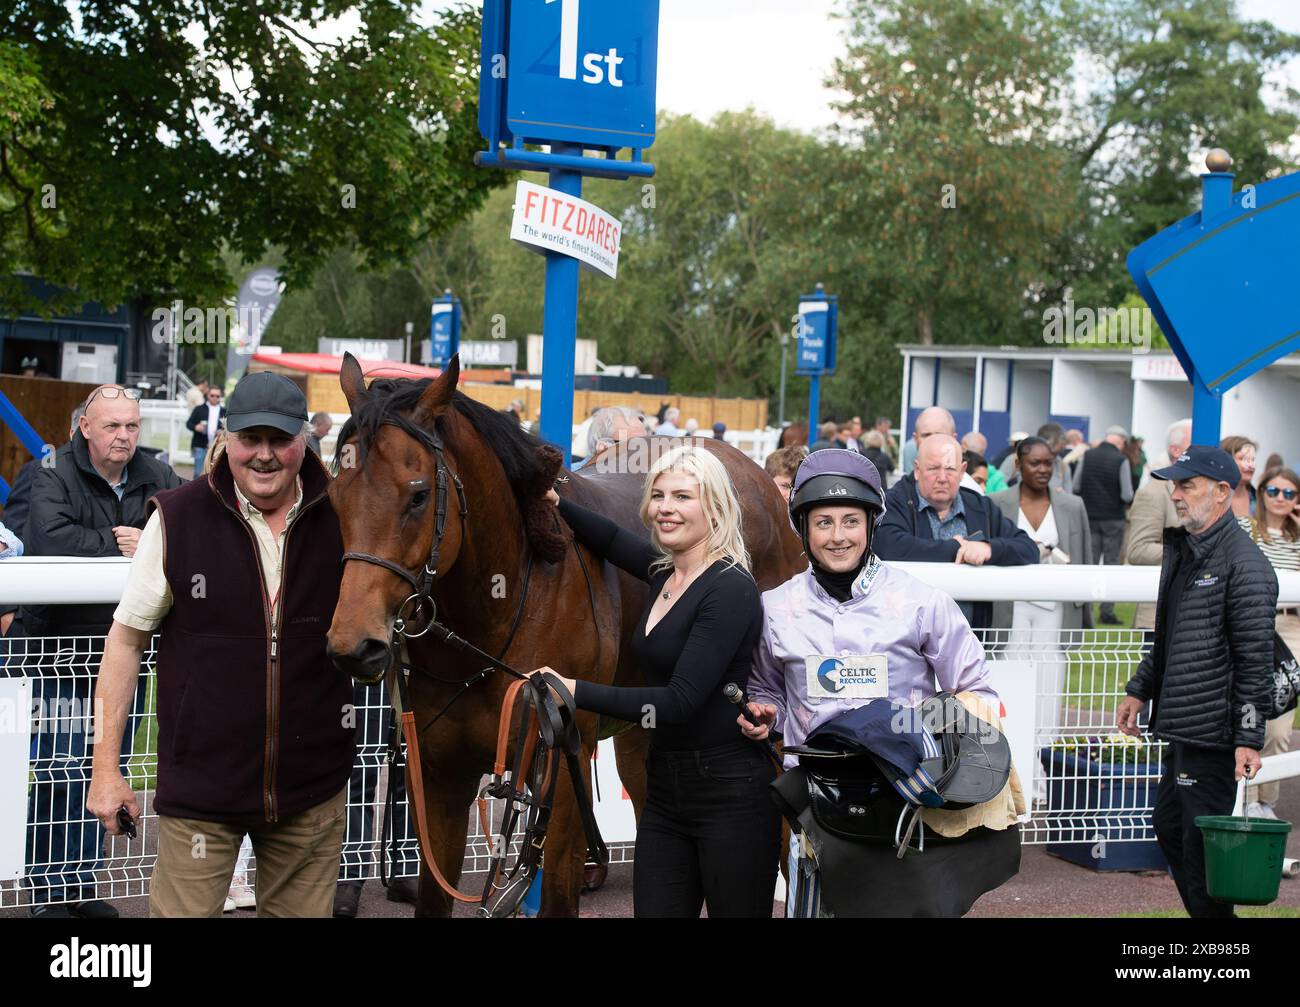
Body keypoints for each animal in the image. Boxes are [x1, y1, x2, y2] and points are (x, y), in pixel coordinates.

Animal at [325, 358, 806, 919]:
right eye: (334, 497)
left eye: (419, 494)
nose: (354, 645)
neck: (502, 604)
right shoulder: (442, 778)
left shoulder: (560, 779)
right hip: (647, 733)